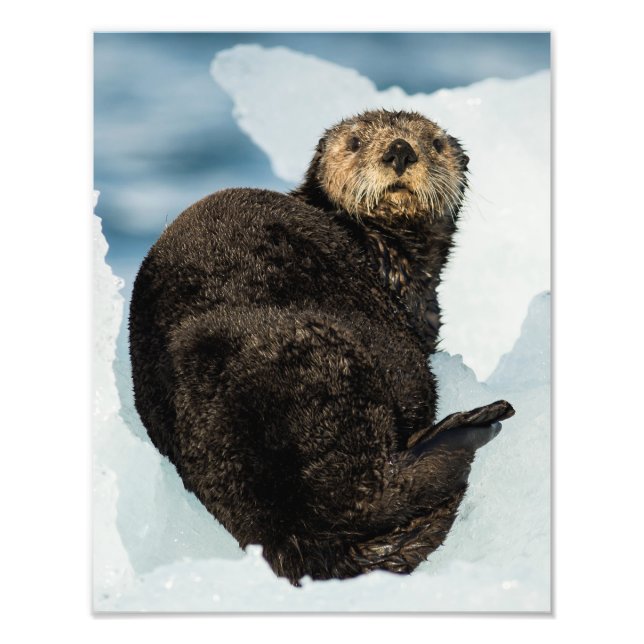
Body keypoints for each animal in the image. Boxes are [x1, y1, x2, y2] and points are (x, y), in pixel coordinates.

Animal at [129, 109, 514, 584]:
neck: (384, 252)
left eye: (435, 144)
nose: (400, 150)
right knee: (378, 489)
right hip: (343, 369)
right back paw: (474, 424)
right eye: (354, 143)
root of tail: (284, 532)